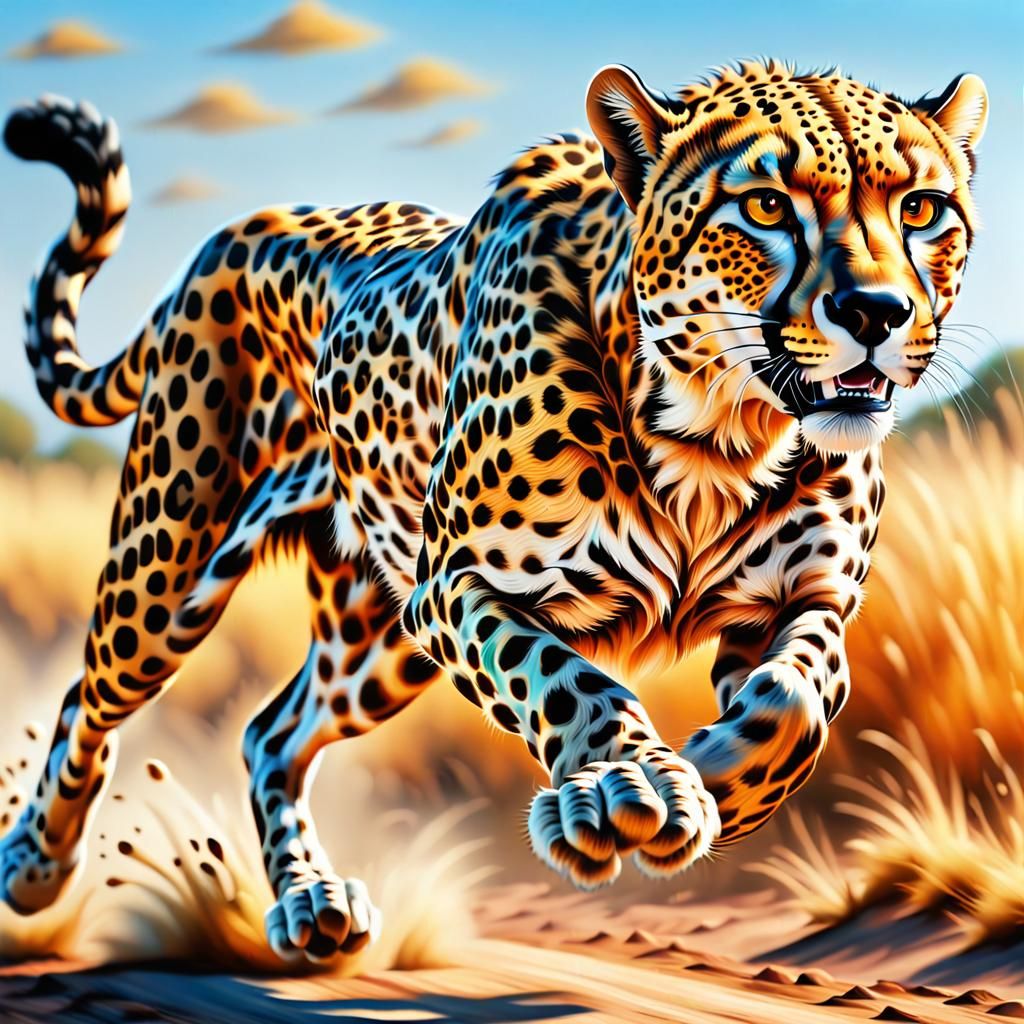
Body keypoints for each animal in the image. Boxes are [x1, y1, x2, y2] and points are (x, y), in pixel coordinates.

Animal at [0, 59, 986, 963]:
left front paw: (712, 778)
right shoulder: (456, 585)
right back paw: (38, 863)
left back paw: (312, 901)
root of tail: (241, 229)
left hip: (374, 641)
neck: (716, 437)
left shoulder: (806, 601)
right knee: (90, 697)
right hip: (171, 571)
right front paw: (627, 786)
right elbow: (562, 677)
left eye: (922, 209)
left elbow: (798, 698)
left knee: (271, 731)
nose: (876, 311)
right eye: (769, 208)